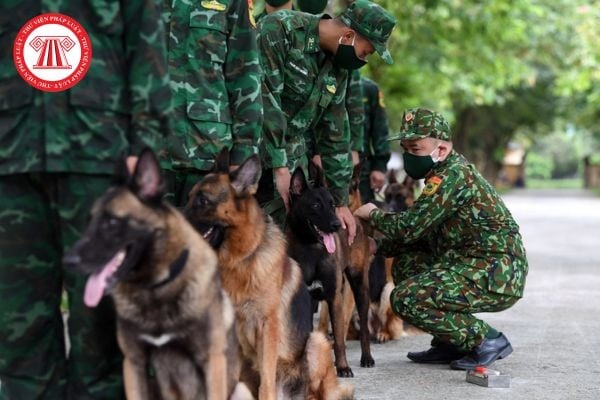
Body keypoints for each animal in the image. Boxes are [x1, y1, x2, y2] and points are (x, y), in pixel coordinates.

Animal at [61, 149, 248, 400]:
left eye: (112, 221)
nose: (67, 261)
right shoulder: (134, 364)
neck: (155, 288)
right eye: (89, 221)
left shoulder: (212, 363)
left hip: (240, 388)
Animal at [183, 149, 352, 400]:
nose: (336, 224)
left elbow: (267, 379)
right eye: (315, 205)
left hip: (316, 342)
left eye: (203, 201)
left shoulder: (269, 328)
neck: (238, 261)